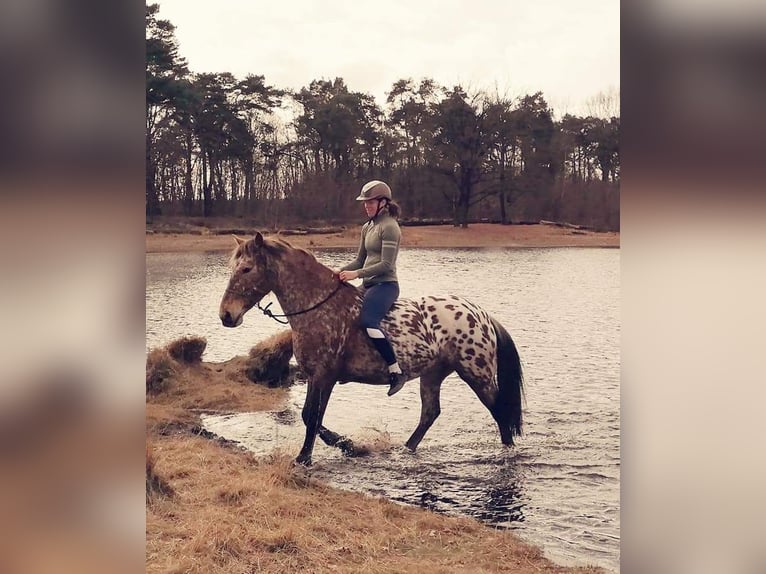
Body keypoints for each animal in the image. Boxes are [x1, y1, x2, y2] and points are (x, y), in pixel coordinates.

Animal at [219, 234, 524, 468]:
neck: (318, 307)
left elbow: (312, 417)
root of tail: (481, 314)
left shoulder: (324, 377)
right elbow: (312, 417)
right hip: (433, 374)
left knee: (499, 412)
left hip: (476, 374)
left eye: (246, 269)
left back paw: (507, 453)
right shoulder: (316, 376)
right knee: (430, 413)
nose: (226, 315)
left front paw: (307, 457)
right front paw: (348, 446)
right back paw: (405, 449)